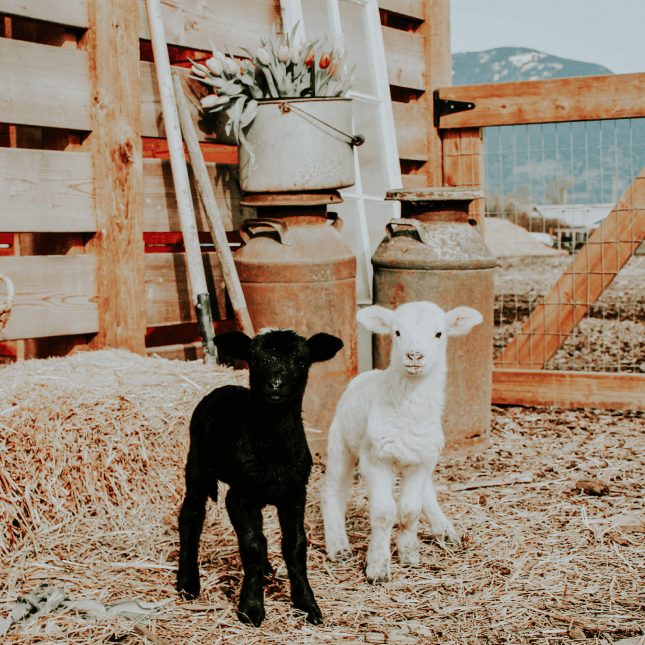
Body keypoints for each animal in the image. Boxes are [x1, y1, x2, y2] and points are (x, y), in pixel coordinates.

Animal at [177, 328, 343, 627]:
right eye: (254, 360)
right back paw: (187, 581)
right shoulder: (241, 495)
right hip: (196, 462)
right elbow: (253, 545)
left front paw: (307, 604)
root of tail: (223, 388)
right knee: (191, 515)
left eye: (302, 361)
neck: (274, 450)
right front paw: (252, 607)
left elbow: (295, 545)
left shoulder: (294, 492)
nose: (275, 385)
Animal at [321, 301, 482, 583]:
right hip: (341, 441)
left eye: (439, 333)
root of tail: (366, 374)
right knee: (332, 491)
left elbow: (409, 510)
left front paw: (409, 555)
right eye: (397, 332)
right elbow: (384, 514)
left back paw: (445, 530)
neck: (410, 412)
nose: (414, 355)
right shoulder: (375, 458)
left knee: (426, 493)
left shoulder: (422, 460)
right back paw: (338, 547)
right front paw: (377, 567)